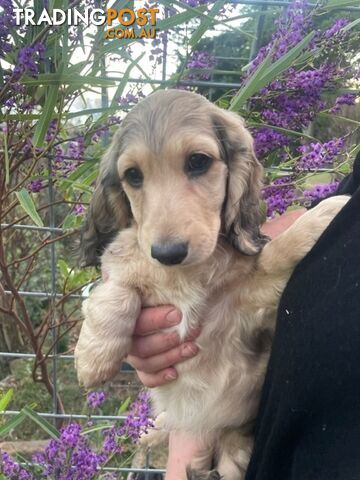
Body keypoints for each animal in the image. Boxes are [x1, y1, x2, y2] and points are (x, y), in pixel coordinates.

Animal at [75, 88, 348, 478]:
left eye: (197, 162)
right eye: (133, 175)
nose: (168, 253)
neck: (185, 274)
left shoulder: (247, 307)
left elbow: (273, 255)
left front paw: (323, 214)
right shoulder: (125, 262)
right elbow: (116, 289)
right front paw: (94, 357)